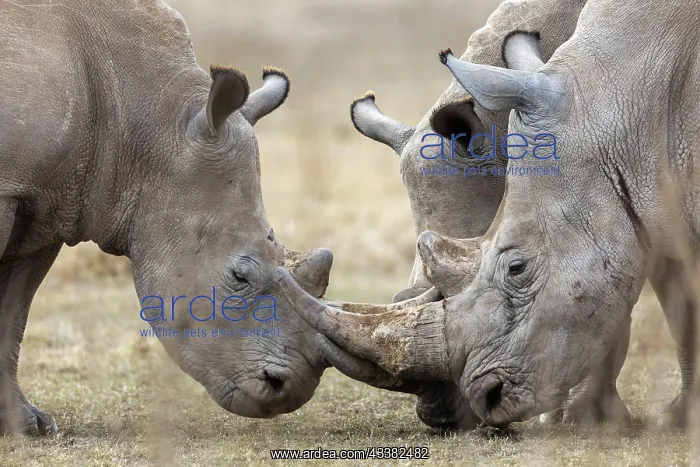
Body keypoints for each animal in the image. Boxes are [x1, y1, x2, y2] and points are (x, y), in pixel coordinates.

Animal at [0, 0, 334, 435]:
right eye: (239, 276)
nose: (289, 390)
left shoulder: (48, 198)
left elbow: (13, 313)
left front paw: (27, 426)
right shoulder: (12, 186)